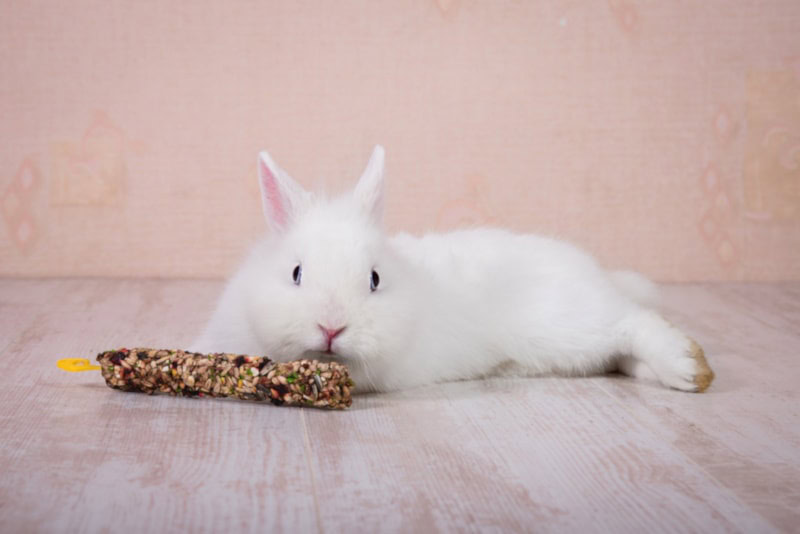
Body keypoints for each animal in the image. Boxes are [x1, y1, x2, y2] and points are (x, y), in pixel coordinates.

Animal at [190, 145, 714, 393]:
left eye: (375, 279)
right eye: (296, 273)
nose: (332, 328)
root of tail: (598, 277)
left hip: (571, 327)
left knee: (634, 322)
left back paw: (689, 369)